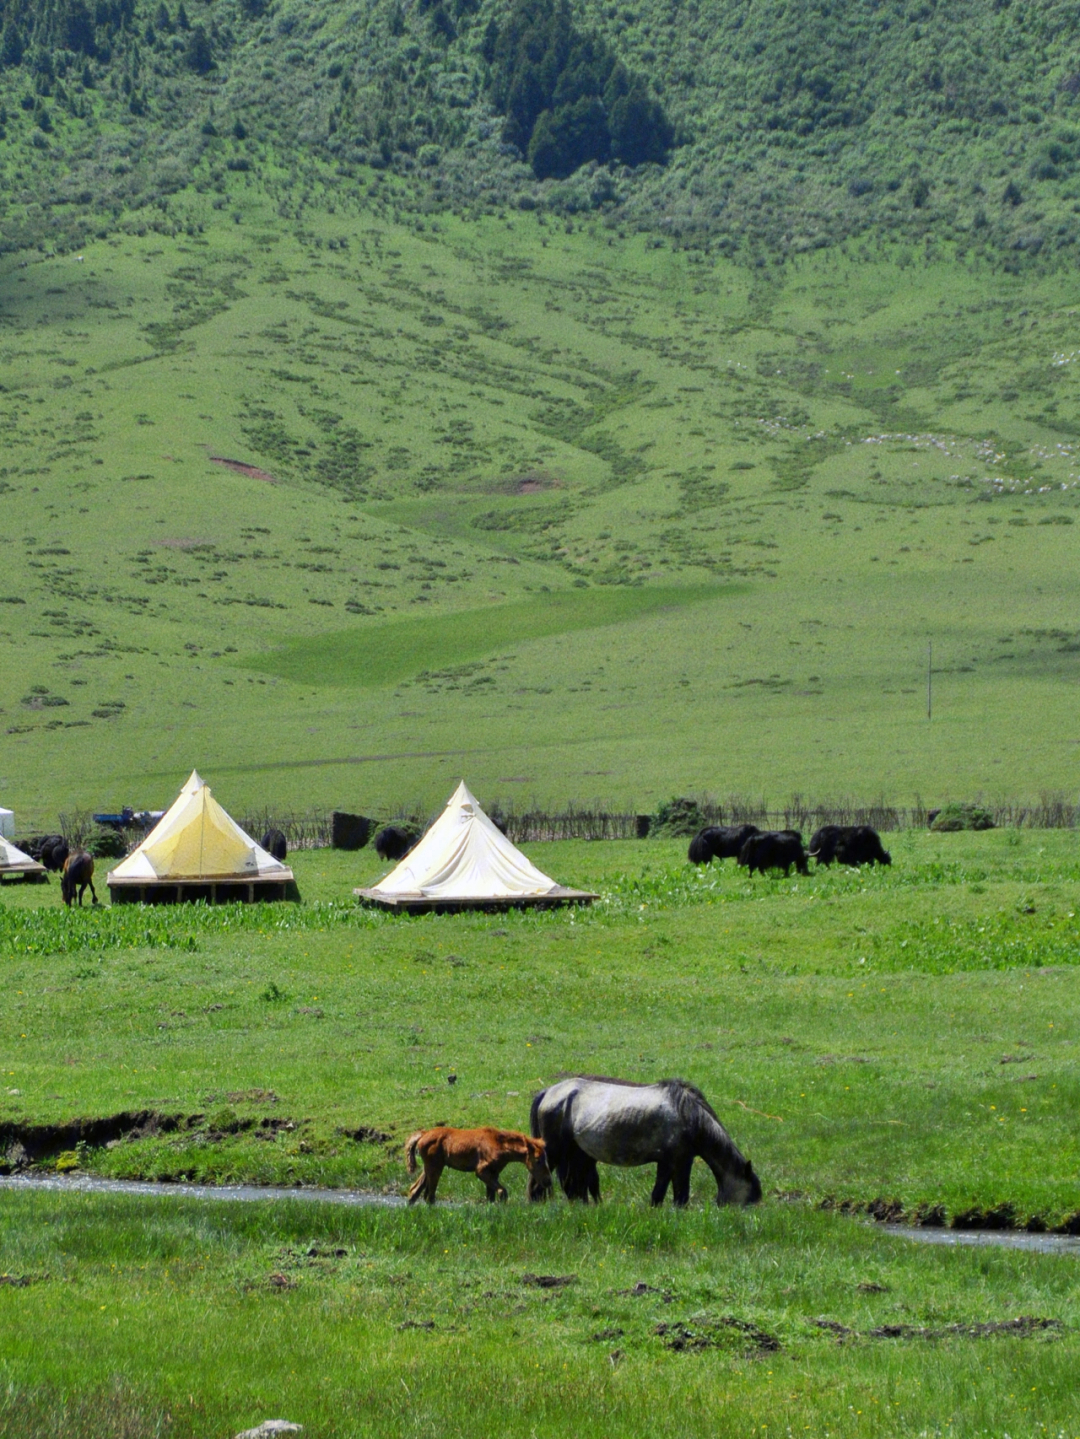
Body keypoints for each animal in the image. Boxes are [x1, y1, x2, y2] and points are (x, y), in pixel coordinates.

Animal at [408, 1122, 552, 1203]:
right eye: (538, 1159)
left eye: (546, 1158)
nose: (548, 1181)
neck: (501, 1147)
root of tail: (422, 1135)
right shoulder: (481, 1171)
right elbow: (502, 1192)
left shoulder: (494, 1173)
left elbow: (491, 1197)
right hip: (435, 1167)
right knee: (429, 1195)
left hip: (430, 1167)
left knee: (414, 1190)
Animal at [532, 1076, 759, 1208]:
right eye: (749, 1199)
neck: (689, 1115)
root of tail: (548, 1092)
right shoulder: (672, 1162)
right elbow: (666, 1193)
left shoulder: (678, 1161)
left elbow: (674, 1193)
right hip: (555, 1152)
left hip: (575, 1154)